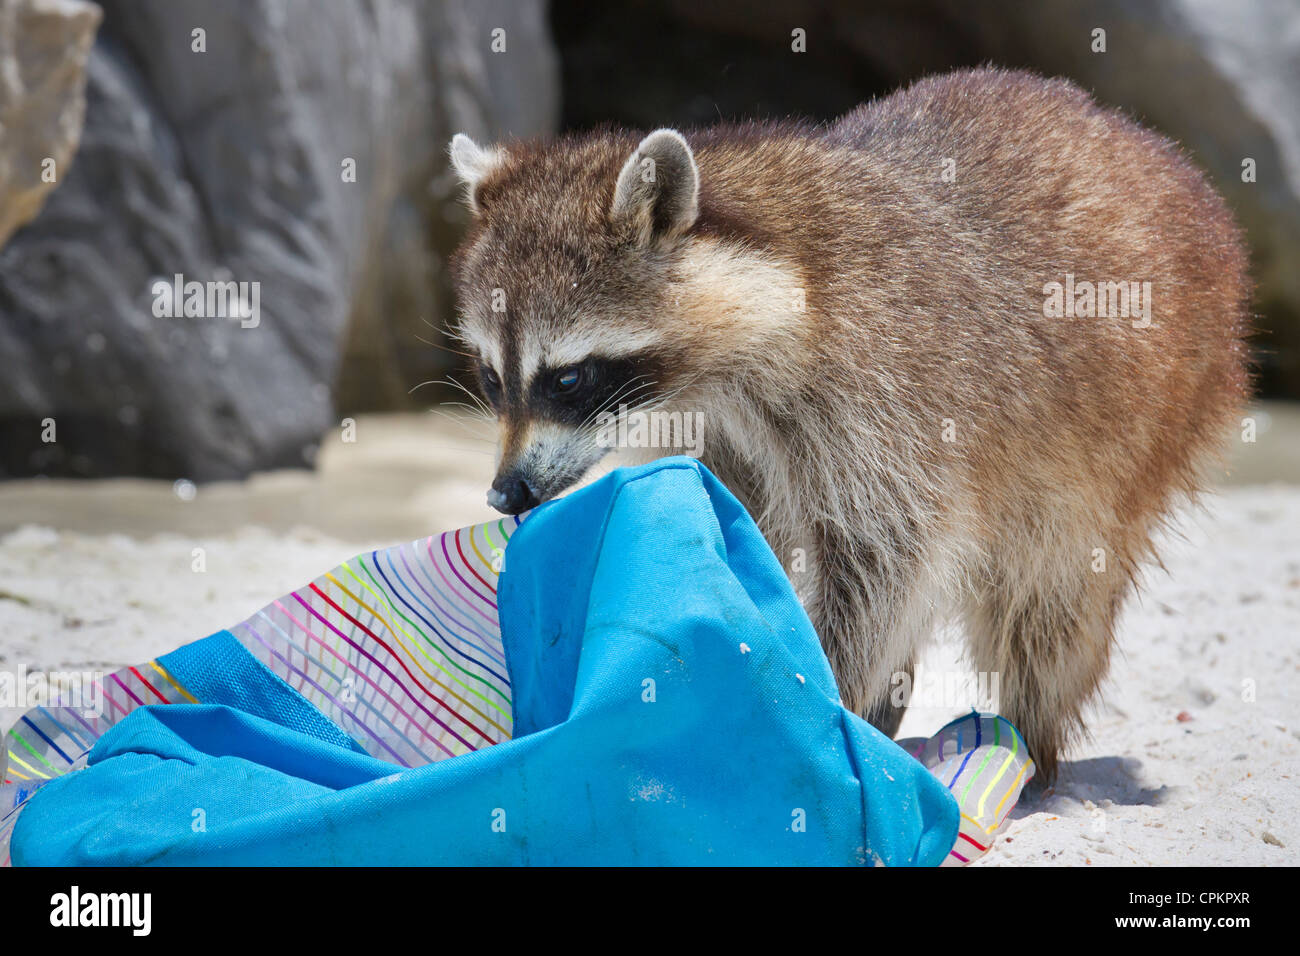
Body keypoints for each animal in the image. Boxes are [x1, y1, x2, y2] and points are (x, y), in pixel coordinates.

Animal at [444, 69, 1248, 785]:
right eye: (490, 377)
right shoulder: (716, 422)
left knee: (1050, 597)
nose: (506, 493)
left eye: (567, 380)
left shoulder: (887, 387)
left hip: (1147, 410)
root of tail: (1142, 144)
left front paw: (816, 693)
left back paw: (1030, 740)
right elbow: (750, 532)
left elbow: (888, 556)